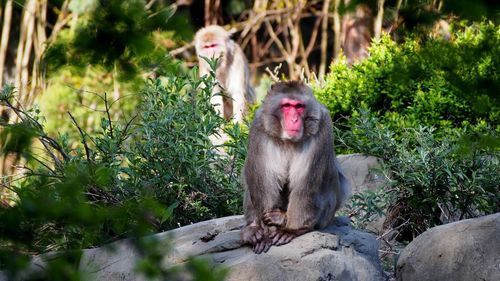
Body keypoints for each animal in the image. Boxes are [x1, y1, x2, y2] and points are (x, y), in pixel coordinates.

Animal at [240, 81, 350, 254]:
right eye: (286, 106)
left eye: (299, 106)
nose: (293, 119)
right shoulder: (259, 125)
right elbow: (263, 183)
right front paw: (264, 233)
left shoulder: (323, 125)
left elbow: (306, 185)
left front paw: (292, 230)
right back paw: (252, 228)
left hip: (327, 215)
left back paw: (284, 220)